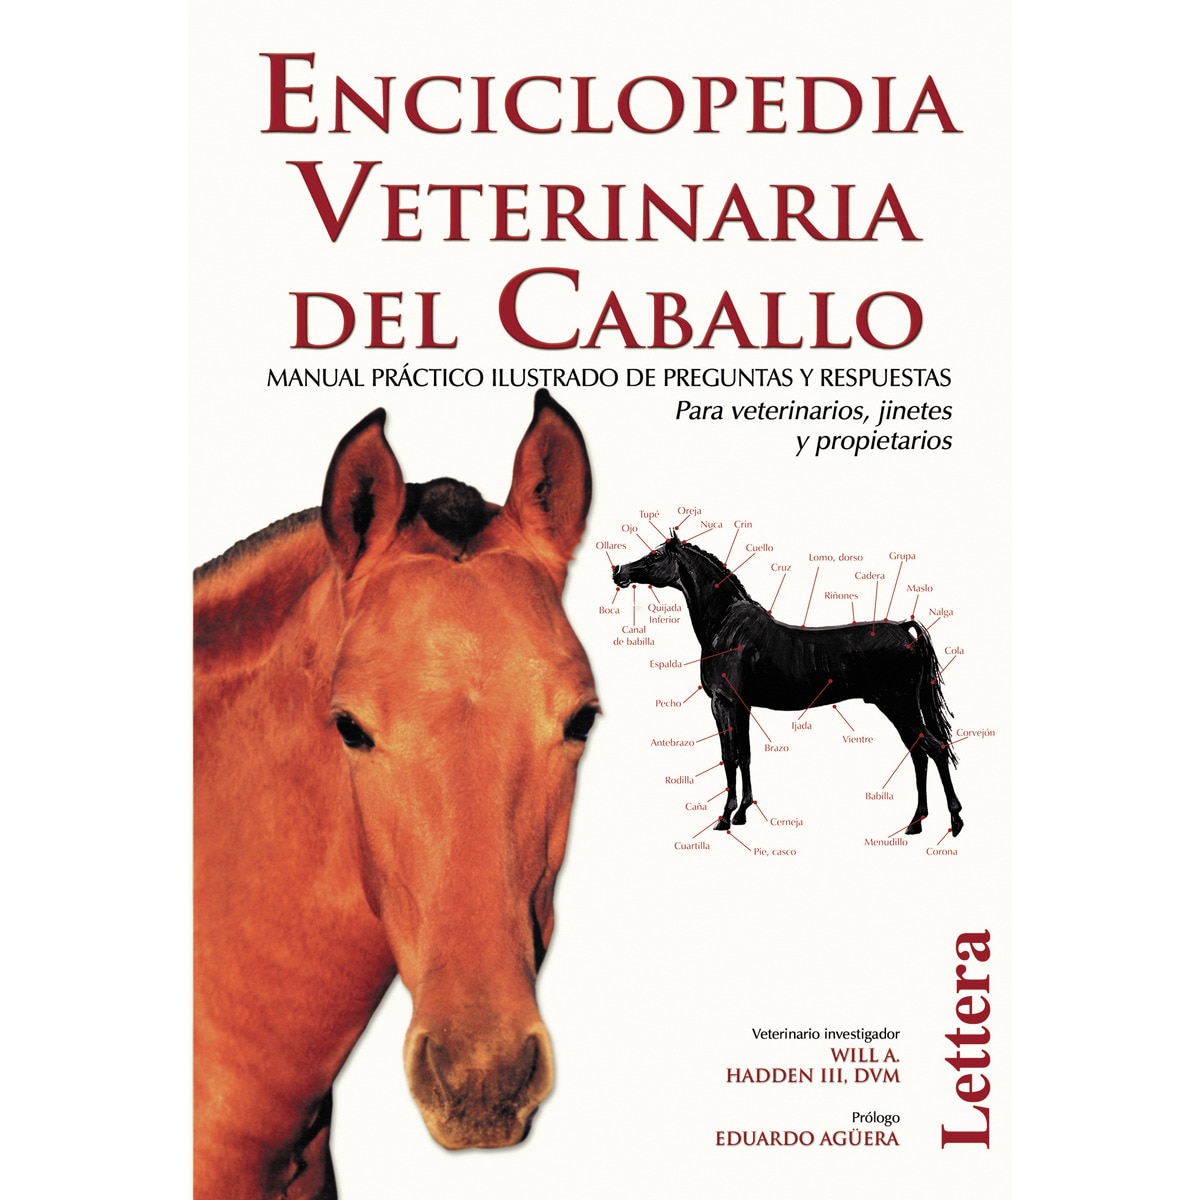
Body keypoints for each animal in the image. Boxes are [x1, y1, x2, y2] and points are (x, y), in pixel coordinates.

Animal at [612, 531, 963, 838]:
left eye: (655, 555)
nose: (618, 571)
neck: (725, 625)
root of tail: (906, 628)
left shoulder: (722, 702)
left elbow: (728, 756)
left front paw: (724, 818)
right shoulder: (742, 705)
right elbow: (744, 755)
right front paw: (742, 814)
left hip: (899, 704)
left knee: (934, 749)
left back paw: (954, 821)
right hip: (900, 707)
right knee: (919, 754)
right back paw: (915, 824)